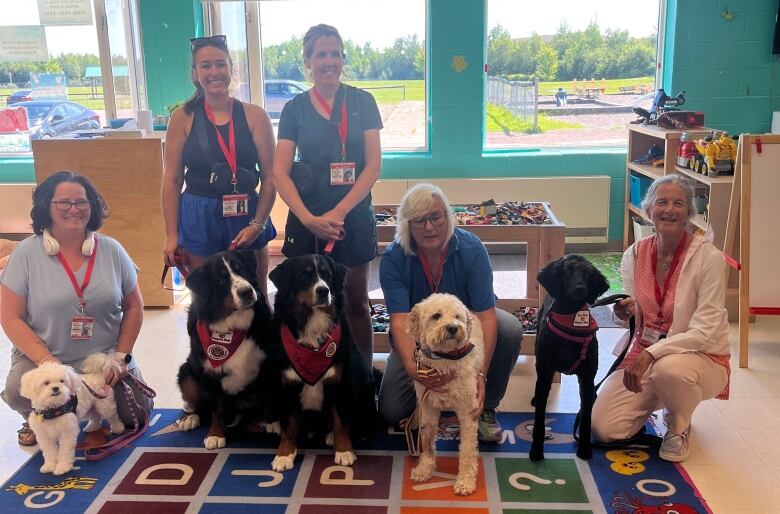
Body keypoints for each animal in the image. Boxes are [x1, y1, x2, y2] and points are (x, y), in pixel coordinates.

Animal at [177, 250, 274, 446]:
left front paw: (271, 422)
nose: (246, 292)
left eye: (241, 269)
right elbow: (218, 407)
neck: (233, 325)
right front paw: (216, 434)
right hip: (187, 372)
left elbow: (267, 396)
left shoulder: (266, 364)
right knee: (200, 406)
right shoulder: (211, 373)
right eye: (221, 280)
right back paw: (191, 418)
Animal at [268, 251, 378, 468]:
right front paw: (284, 454)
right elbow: (288, 423)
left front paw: (344, 450)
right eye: (304, 275)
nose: (323, 290)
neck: (313, 322)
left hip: (362, 380)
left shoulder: (340, 380)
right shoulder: (286, 382)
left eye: (327, 274)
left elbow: (341, 421)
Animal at [406, 294, 484, 494]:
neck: (445, 359)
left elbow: (467, 450)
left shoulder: (467, 413)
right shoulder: (428, 408)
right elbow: (427, 443)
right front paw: (425, 468)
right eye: (436, 316)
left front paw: (465, 481)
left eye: (457, 316)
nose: (453, 327)